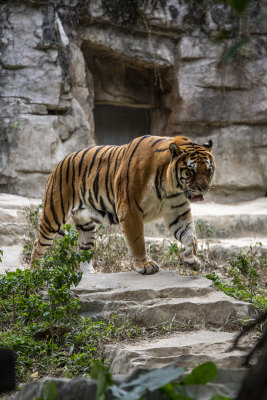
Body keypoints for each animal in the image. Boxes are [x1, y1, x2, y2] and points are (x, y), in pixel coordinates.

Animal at [30, 136, 217, 274]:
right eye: (191, 170)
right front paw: (145, 265)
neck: (171, 188)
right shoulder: (130, 209)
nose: (203, 188)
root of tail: (60, 162)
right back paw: (35, 273)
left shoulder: (177, 211)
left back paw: (90, 274)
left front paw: (192, 259)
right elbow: (137, 240)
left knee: (84, 249)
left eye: (208, 170)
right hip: (53, 214)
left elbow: (189, 234)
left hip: (86, 224)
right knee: (38, 244)